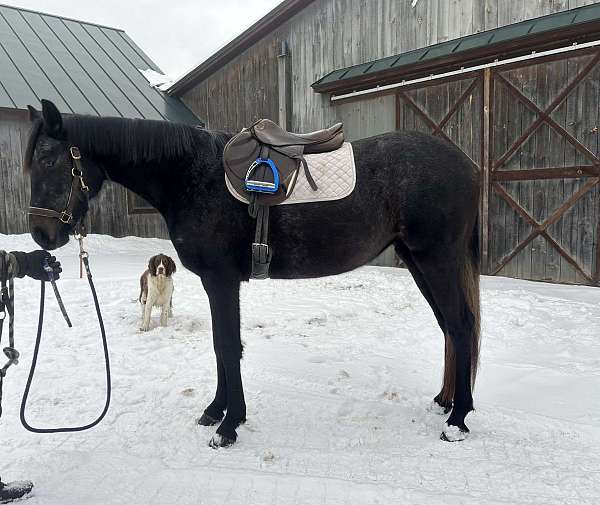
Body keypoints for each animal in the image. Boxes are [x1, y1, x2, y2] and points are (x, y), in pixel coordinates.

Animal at [24, 98, 482, 444]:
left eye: (48, 159)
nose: (41, 235)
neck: (191, 176)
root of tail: (466, 164)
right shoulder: (215, 283)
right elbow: (219, 346)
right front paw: (216, 411)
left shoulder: (221, 280)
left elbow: (228, 346)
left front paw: (228, 426)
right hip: (418, 261)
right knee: (449, 327)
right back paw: (445, 402)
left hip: (436, 259)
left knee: (460, 326)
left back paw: (457, 421)